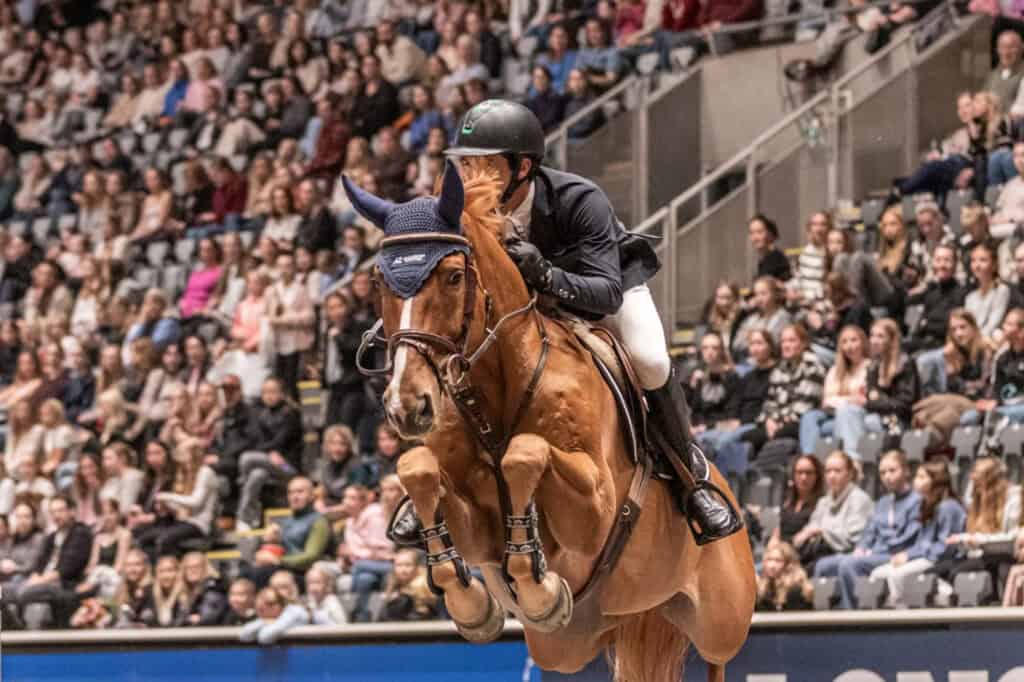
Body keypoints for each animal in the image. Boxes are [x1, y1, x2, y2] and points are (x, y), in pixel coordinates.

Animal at [345, 163, 755, 682]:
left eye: (454, 276)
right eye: (380, 281)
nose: (406, 405)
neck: (496, 392)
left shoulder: (598, 507)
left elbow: (526, 452)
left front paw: (536, 585)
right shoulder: (474, 522)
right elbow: (417, 468)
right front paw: (474, 604)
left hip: (722, 620)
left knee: (718, 654)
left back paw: (708, 505)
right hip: (563, 647)